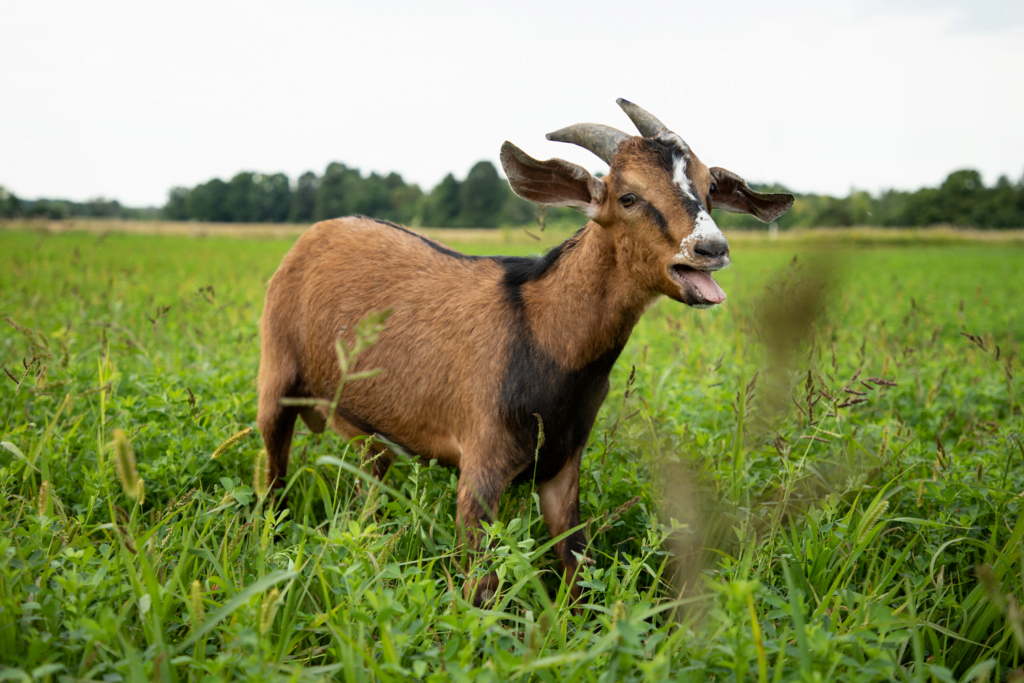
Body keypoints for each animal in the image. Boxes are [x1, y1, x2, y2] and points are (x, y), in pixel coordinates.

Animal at [257, 99, 793, 605]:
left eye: (709, 190)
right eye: (628, 196)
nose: (712, 248)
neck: (543, 334)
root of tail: (314, 233)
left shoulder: (562, 462)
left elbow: (578, 567)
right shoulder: (481, 464)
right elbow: (484, 588)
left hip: (372, 431)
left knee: (368, 478)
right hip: (275, 377)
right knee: (274, 473)